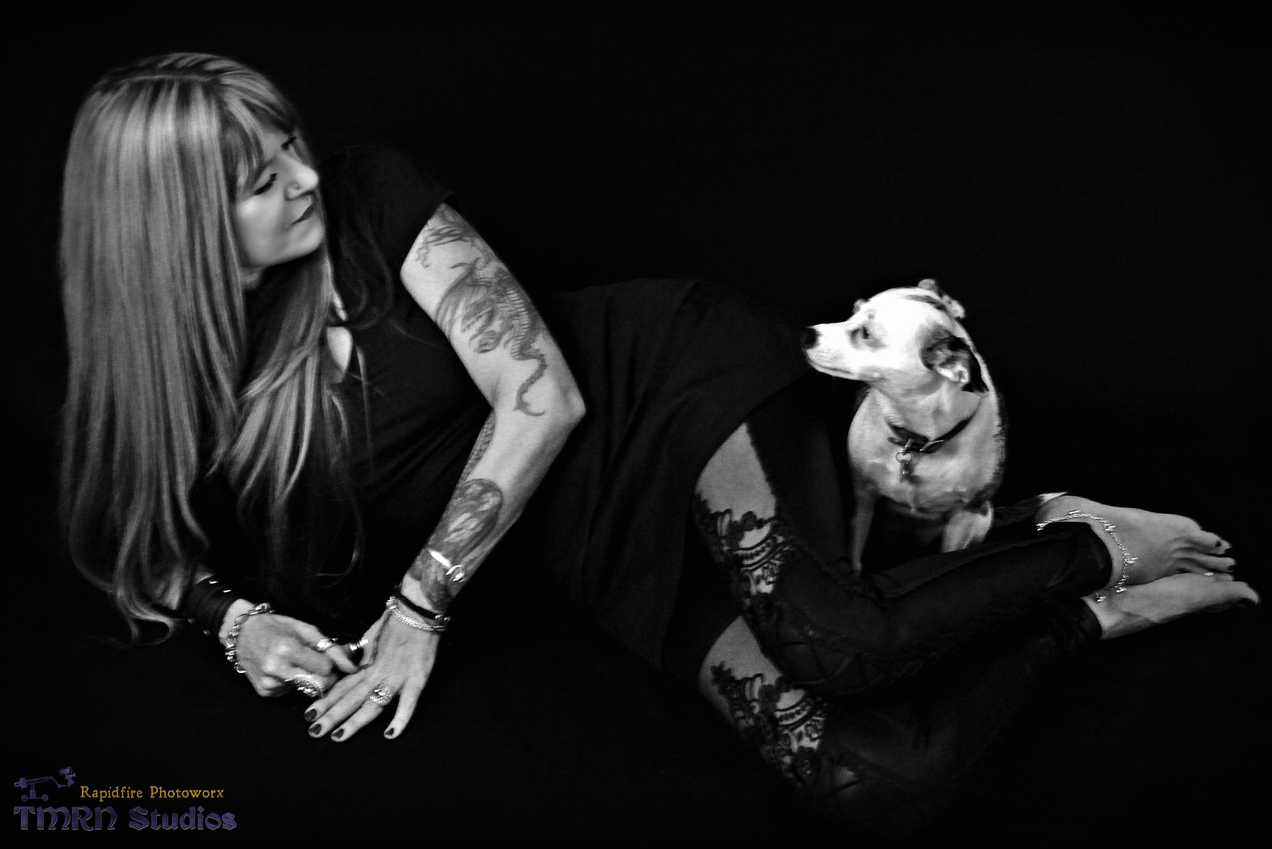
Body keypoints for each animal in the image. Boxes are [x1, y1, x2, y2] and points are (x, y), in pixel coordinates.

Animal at [802, 279, 1004, 573]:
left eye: (865, 333)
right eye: (853, 312)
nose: (807, 334)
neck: (918, 438)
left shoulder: (965, 516)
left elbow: (948, 555)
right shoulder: (861, 498)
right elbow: (855, 555)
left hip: (983, 516)